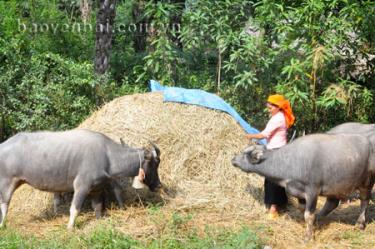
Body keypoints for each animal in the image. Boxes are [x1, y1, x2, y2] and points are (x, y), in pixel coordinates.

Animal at [0, 130, 162, 230]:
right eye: (155, 163)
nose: (159, 185)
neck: (107, 156)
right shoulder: (81, 186)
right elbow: (75, 208)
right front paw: (70, 227)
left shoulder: (97, 189)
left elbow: (97, 207)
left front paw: (99, 220)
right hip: (7, 182)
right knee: (5, 204)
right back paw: (2, 225)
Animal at [232, 134, 375, 241]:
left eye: (245, 153)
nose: (233, 159)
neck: (290, 162)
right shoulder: (299, 193)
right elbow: (302, 210)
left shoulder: (312, 192)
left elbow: (308, 215)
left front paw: (308, 237)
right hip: (336, 186)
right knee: (332, 203)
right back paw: (319, 218)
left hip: (366, 182)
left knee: (364, 200)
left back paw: (360, 224)